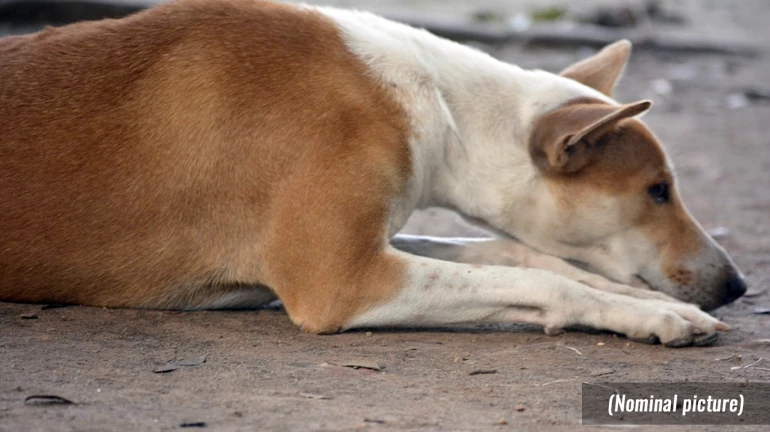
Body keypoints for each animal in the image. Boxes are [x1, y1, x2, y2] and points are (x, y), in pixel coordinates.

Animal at [0, 0, 744, 346]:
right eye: (657, 190)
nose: (737, 285)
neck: (440, 105)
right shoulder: (342, 280)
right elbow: (539, 276)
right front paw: (651, 316)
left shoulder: (375, 243)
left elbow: (518, 255)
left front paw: (642, 301)